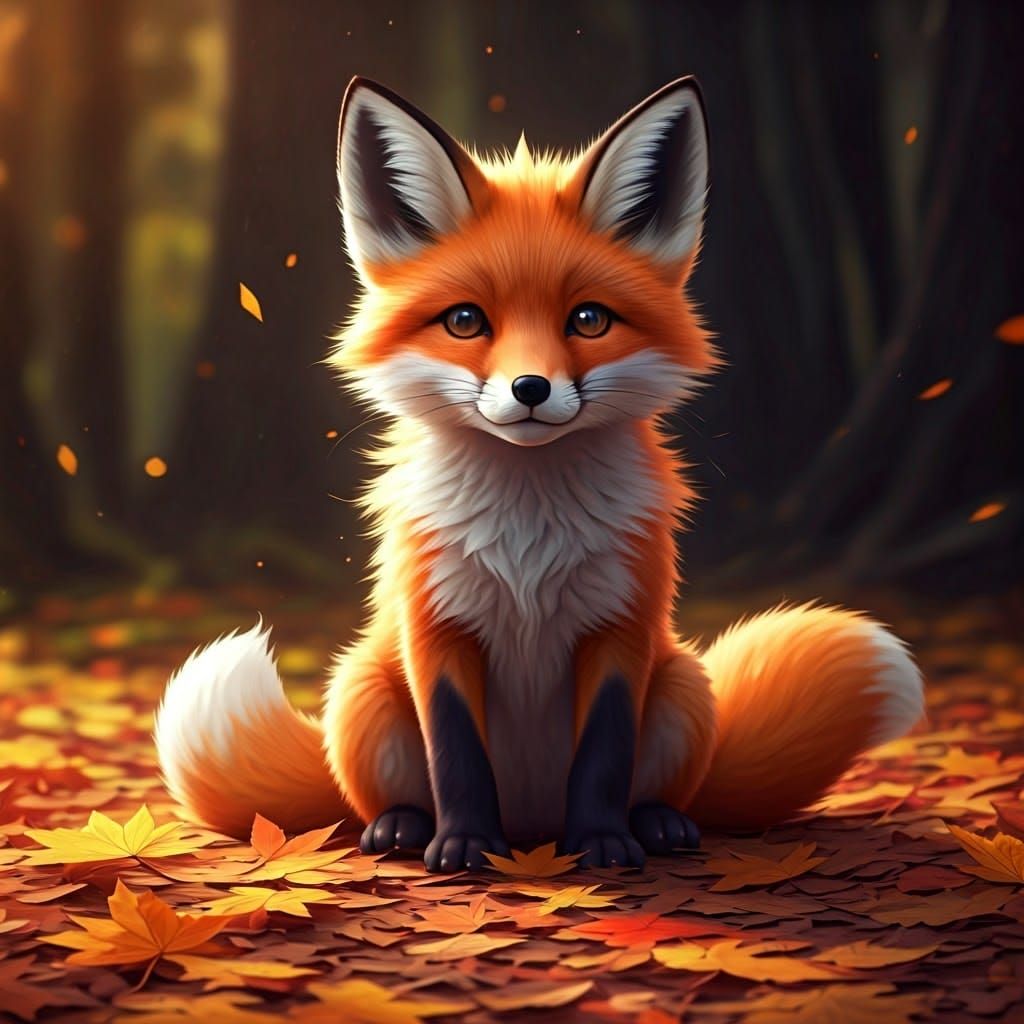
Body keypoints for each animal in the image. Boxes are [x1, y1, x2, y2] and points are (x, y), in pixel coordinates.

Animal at [154, 76, 925, 872]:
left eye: (588, 319)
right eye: (465, 321)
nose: (531, 388)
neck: (529, 538)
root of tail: (530, 826)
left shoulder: (622, 626)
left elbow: (605, 755)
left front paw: (603, 843)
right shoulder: (437, 627)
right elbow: (456, 753)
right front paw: (463, 844)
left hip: (682, 685)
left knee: (664, 788)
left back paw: (655, 823)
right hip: (362, 688)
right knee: (380, 795)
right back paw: (403, 827)